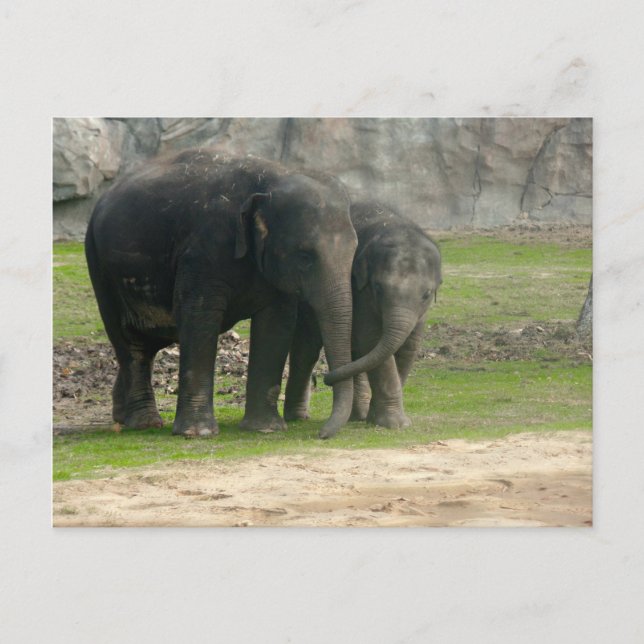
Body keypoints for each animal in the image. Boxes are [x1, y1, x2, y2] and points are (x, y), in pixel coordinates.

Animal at [85, 149, 358, 439]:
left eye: (354, 249)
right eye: (305, 256)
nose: (321, 434)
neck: (272, 177)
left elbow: (276, 323)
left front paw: (265, 429)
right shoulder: (202, 252)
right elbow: (199, 318)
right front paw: (197, 433)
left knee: (149, 341)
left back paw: (123, 417)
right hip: (100, 267)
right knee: (130, 341)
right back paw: (145, 422)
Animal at [284, 201, 442, 429]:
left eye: (427, 294)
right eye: (378, 288)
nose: (326, 379)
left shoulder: (421, 313)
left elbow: (408, 347)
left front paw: (379, 419)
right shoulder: (360, 292)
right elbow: (373, 340)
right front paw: (393, 424)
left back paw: (357, 415)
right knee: (308, 347)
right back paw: (298, 417)